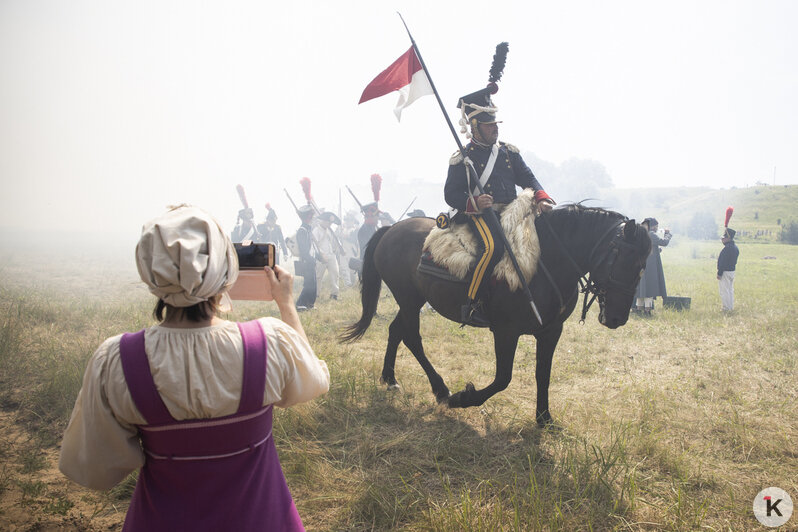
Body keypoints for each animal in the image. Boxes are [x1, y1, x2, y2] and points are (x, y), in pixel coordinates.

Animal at [340, 204, 648, 424]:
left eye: (643, 265)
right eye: (622, 257)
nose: (617, 318)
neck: (546, 261)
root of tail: (392, 228)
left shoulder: (551, 331)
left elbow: (543, 373)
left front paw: (544, 419)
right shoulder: (505, 332)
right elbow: (503, 379)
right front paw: (463, 398)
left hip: (411, 301)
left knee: (396, 331)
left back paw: (390, 378)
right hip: (408, 299)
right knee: (412, 338)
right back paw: (441, 390)